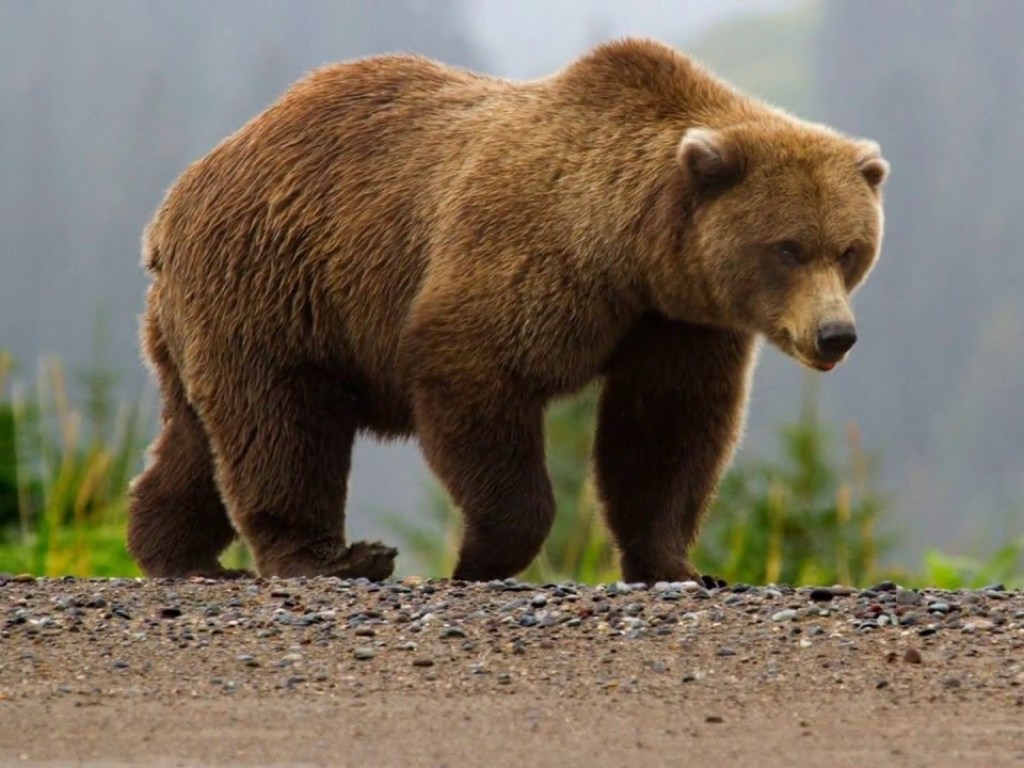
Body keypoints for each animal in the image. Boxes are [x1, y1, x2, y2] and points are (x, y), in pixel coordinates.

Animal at [123, 37, 884, 581]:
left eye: (849, 249)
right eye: (787, 248)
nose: (835, 334)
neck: (632, 251)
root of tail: (175, 201)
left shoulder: (678, 321)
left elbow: (667, 429)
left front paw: (677, 565)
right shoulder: (530, 257)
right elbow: (477, 374)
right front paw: (480, 556)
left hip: (207, 315)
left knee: (198, 436)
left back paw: (175, 551)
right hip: (277, 283)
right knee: (281, 424)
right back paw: (331, 558)